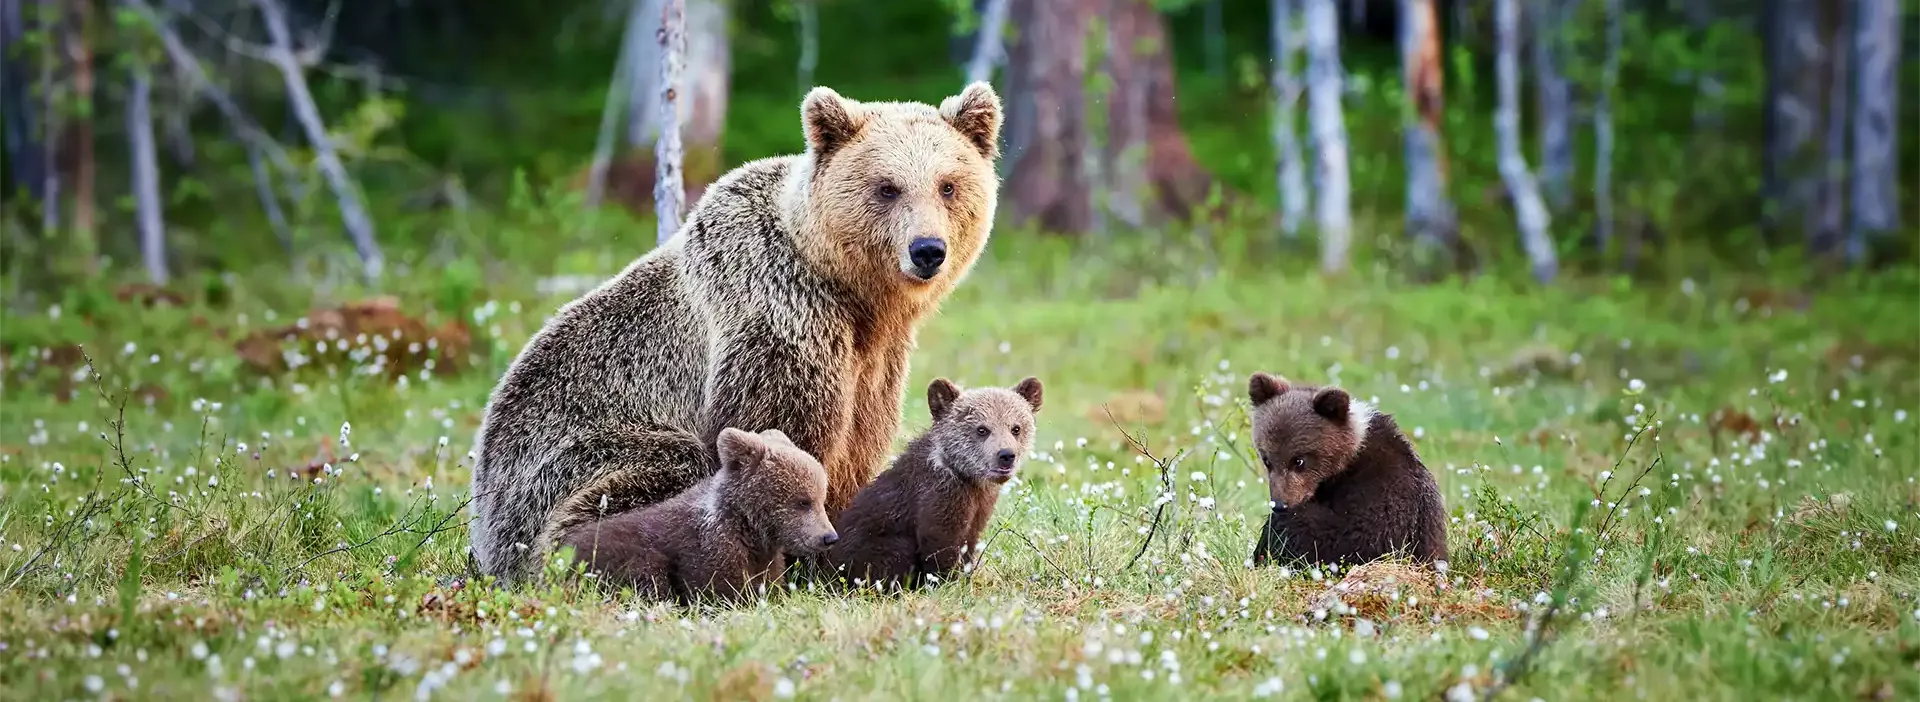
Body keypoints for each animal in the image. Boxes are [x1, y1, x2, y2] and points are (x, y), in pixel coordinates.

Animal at [468, 81, 1005, 584]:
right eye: (887, 187)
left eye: (948, 185)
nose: (927, 249)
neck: (851, 295)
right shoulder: (777, 319)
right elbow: (781, 437)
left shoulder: (875, 361)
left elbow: (858, 446)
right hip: (563, 463)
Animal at [554, 428, 838, 605]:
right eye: (803, 501)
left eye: (821, 498)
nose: (828, 537)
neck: (751, 531)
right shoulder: (709, 549)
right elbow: (720, 588)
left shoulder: (766, 558)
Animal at [821, 376, 1043, 590]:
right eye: (982, 429)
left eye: (1016, 428)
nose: (1006, 455)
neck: (967, 479)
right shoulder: (940, 497)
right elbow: (939, 545)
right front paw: (945, 584)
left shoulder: (980, 506)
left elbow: (969, 543)